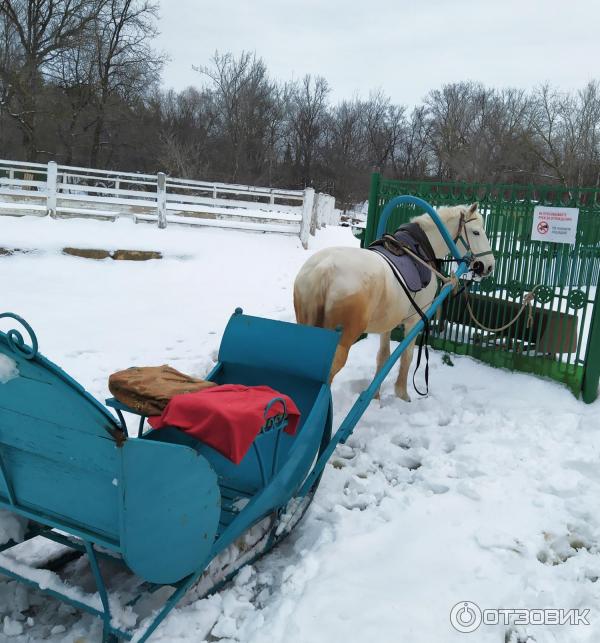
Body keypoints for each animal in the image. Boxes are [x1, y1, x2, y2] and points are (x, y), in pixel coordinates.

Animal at [292, 204, 494, 400]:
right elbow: (407, 356)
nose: (489, 266)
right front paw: (402, 393)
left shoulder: (387, 321)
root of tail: (324, 269)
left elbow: (383, 356)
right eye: (476, 232)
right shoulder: (415, 320)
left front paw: (375, 395)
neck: (420, 250)